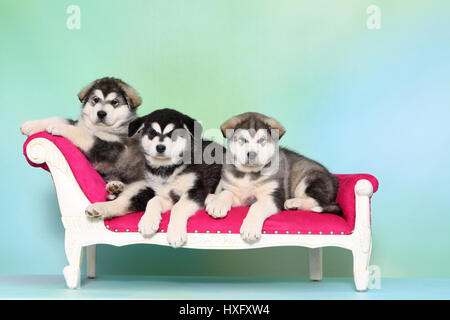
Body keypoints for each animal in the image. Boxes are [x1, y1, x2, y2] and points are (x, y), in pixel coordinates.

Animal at [20, 77, 155, 218]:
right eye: (95, 99)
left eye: (114, 102)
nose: (101, 113)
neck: (100, 128)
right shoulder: (80, 125)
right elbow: (63, 119)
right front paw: (32, 125)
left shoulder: (113, 149)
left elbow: (85, 135)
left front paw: (60, 127)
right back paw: (115, 186)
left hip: (143, 187)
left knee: (123, 203)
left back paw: (98, 208)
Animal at [127, 109, 222, 246]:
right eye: (152, 133)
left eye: (174, 134)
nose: (160, 147)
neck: (167, 169)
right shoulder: (166, 197)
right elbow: (153, 201)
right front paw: (148, 221)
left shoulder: (195, 190)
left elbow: (178, 208)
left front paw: (175, 233)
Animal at [206, 111, 340, 241]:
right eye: (243, 140)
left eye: (262, 140)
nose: (252, 154)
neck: (249, 174)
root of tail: (334, 179)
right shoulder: (238, 196)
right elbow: (226, 193)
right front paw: (217, 205)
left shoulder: (274, 196)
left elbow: (257, 206)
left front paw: (250, 229)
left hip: (310, 179)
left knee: (319, 202)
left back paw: (293, 203)